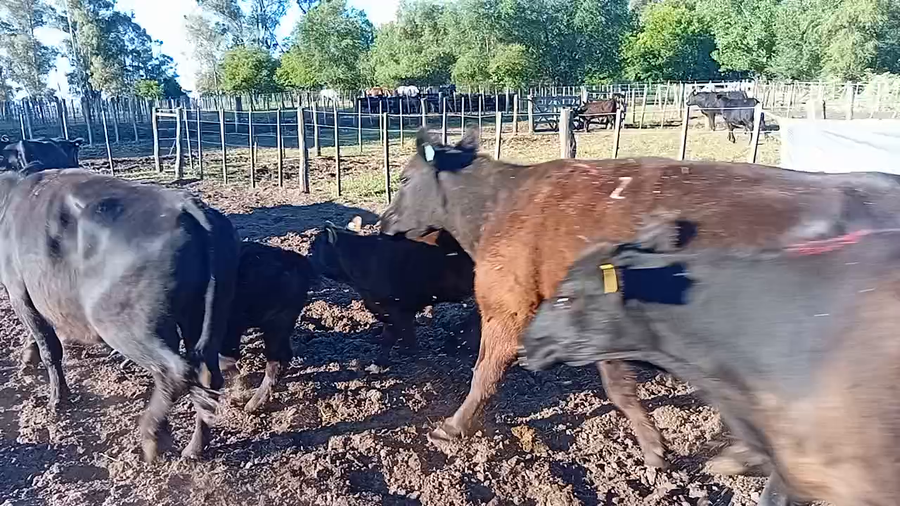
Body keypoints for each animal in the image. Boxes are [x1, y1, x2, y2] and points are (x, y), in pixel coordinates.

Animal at [0, 169, 240, 462]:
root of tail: (186, 205)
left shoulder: (20, 295)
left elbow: (50, 349)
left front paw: (57, 399)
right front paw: (28, 358)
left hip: (121, 323)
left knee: (174, 371)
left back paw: (151, 438)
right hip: (201, 317)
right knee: (207, 376)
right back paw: (195, 447)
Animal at [377, 126, 900, 468]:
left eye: (403, 179)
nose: (382, 222)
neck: (500, 205)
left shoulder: (508, 304)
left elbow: (485, 371)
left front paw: (453, 427)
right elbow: (620, 388)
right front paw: (655, 448)